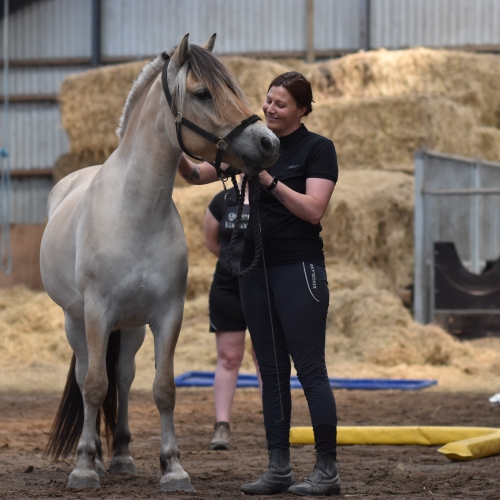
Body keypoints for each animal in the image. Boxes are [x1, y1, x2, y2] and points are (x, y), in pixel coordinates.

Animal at [40, 35, 280, 492]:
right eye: (203, 93)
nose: (269, 143)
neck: (135, 212)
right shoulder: (97, 312)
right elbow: (94, 386)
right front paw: (83, 469)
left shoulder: (168, 313)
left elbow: (163, 387)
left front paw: (173, 468)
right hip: (75, 320)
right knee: (87, 376)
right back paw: (94, 459)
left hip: (130, 327)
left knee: (124, 376)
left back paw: (120, 457)